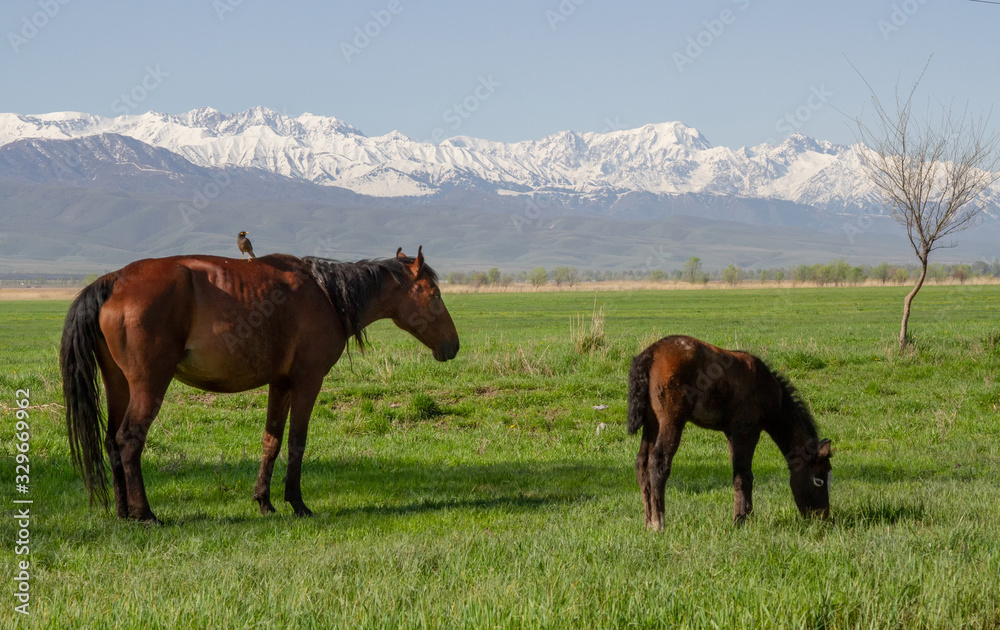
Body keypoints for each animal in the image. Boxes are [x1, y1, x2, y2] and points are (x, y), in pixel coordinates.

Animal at [60, 247, 459, 524]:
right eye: (435, 295)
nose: (453, 346)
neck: (326, 295)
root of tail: (116, 280)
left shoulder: (280, 384)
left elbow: (272, 441)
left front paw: (264, 501)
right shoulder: (307, 381)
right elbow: (297, 442)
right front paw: (297, 502)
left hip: (118, 384)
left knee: (112, 441)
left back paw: (124, 512)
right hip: (149, 386)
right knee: (129, 440)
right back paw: (145, 513)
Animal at [627, 335, 832, 529]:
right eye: (818, 480)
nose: (823, 517)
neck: (771, 392)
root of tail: (651, 352)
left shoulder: (731, 433)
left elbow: (743, 474)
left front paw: (746, 516)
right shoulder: (746, 431)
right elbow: (743, 475)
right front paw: (740, 520)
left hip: (652, 422)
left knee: (642, 462)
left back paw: (648, 522)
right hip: (671, 419)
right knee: (659, 460)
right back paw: (658, 524)